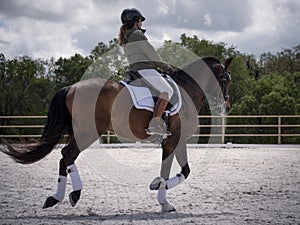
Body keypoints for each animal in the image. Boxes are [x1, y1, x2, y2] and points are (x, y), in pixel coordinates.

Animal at [0, 56, 232, 213]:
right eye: (226, 79)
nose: (227, 106)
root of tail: (72, 87)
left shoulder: (178, 139)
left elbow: (185, 171)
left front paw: (160, 192)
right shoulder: (172, 140)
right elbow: (171, 171)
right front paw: (162, 195)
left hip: (80, 131)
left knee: (64, 158)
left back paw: (55, 198)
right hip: (89, 132)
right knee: (68, 154)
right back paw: (75, 194)